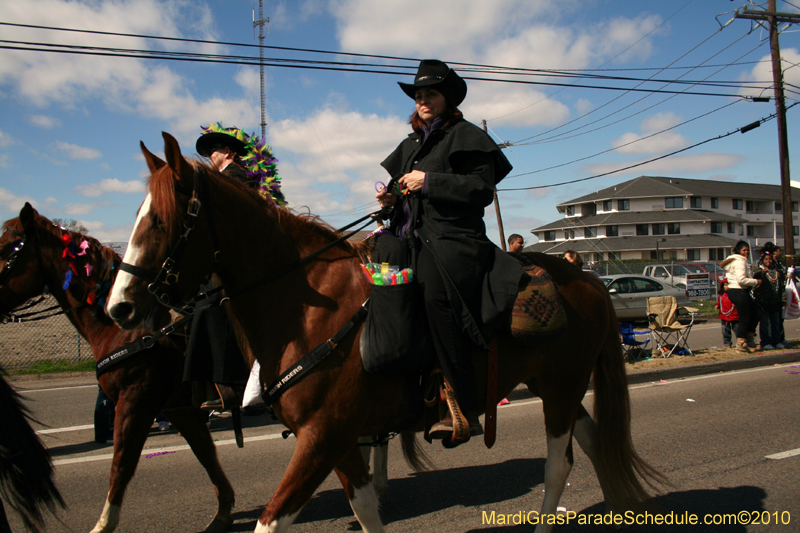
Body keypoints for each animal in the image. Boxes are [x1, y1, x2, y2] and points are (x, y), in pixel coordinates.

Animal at [0, 206, 236, 532]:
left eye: (7, 249)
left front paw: (103, 524)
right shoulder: (177, 407)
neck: (129, 331)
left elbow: (121, 465)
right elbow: (205, 452)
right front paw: (223, 512)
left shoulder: (135, 403)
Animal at [104, 130, 664, 532]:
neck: (311, 314)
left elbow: (273, 520)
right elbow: (365, 509)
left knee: (558, 464)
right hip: (557, 387)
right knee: (589, 443)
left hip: (562, 386)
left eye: (161, 221)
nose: (120, 308)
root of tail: (587, 277)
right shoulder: (335, 438)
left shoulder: (323, 435)